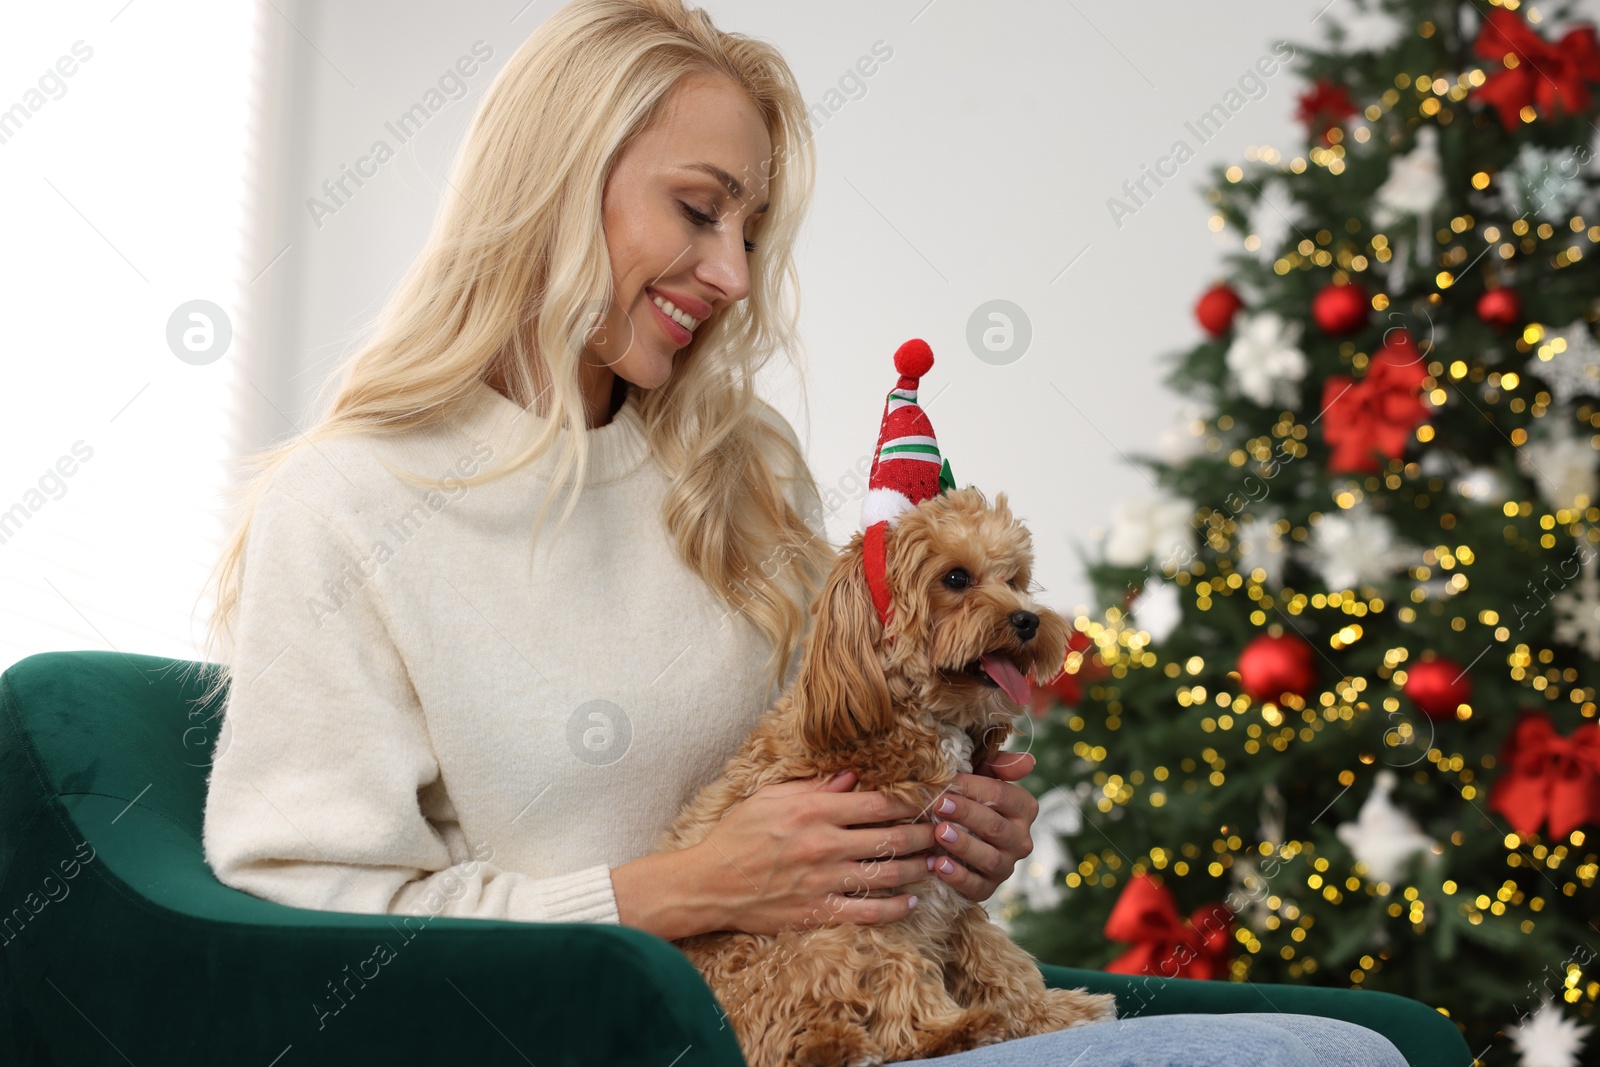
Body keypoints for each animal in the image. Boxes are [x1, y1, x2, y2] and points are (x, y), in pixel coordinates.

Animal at [656, 486, 1120, 1067]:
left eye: (1014, 579)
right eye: (956, 579)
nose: (1028, 621)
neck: (910, 716)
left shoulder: (951, 890)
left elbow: (996, 957)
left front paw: (1045, 1011)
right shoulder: (867, 902)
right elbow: (898, 972)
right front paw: (949, 1027)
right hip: (810, 945)